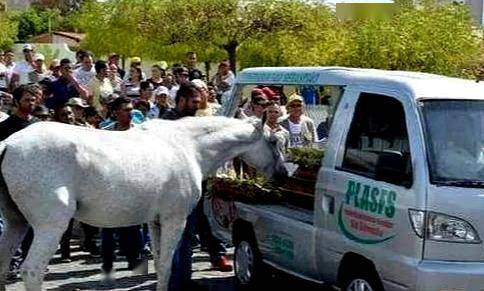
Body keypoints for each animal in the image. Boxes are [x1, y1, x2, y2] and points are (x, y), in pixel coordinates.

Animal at [0, 116, 288, 291]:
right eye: (273, 141)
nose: (283, 174)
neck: (188, 147)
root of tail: (8, 144)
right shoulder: (174, 220)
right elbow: (166, 265)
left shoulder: (154, 222)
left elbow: (160, 263)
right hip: (50, 227)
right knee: (32, 271)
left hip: (16, 224)